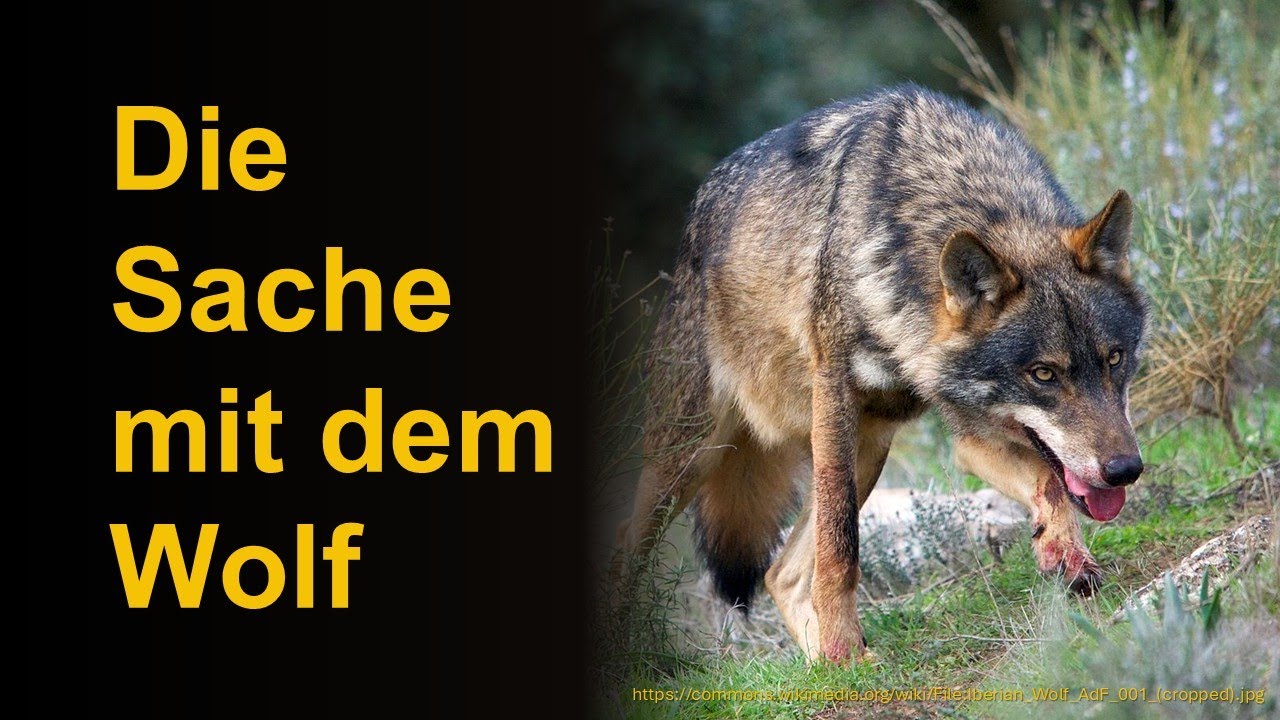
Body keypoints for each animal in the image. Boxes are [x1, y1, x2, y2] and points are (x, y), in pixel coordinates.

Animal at [617, 85, 1148, 663]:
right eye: (1044, 374)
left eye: (1114, 359)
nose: (1125, 470)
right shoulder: (834, 395)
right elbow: (840, 547)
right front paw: (843, 644)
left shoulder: (971, 433)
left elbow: (1048, 481)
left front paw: (1065, 555)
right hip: (691, 458)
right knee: (631, 551)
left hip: (869, 448)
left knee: (781, 574)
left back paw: (829, 666)